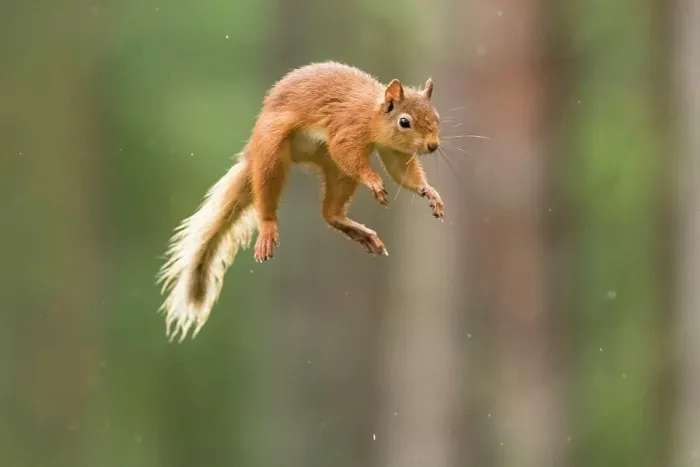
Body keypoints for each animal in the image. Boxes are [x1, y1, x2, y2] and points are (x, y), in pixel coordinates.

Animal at [157, 61, 444, 341]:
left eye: (437, 118)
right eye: (404, 122)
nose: (433, 146)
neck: (372, 114)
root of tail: (253, 151)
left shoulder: (394, 151)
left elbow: (402, 172)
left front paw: (430, 192)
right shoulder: (346, 129)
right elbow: (348, 153)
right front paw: (373, 180)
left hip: (336, 170)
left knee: (330, 213)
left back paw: (360, 232)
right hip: (272, 154)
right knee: (267, 196)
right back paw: (268, 228)